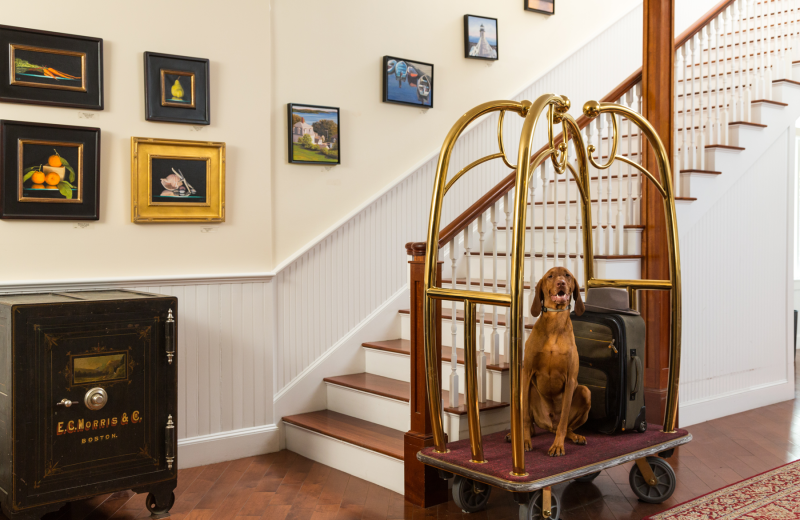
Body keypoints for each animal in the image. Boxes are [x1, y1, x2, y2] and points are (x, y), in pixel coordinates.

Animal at [512, 266, 588, 458]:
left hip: (585, 391)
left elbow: (563, 422)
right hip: (524, 389)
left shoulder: (570, 380)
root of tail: (548, 426)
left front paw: (558, 446)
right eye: (550, 276)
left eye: (567, 275)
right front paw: (524, 442)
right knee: (529, 422)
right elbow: (525, 418)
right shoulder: (527, 372)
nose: (561, 283)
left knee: (565, 427)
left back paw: (575, 436)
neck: (555, 324)